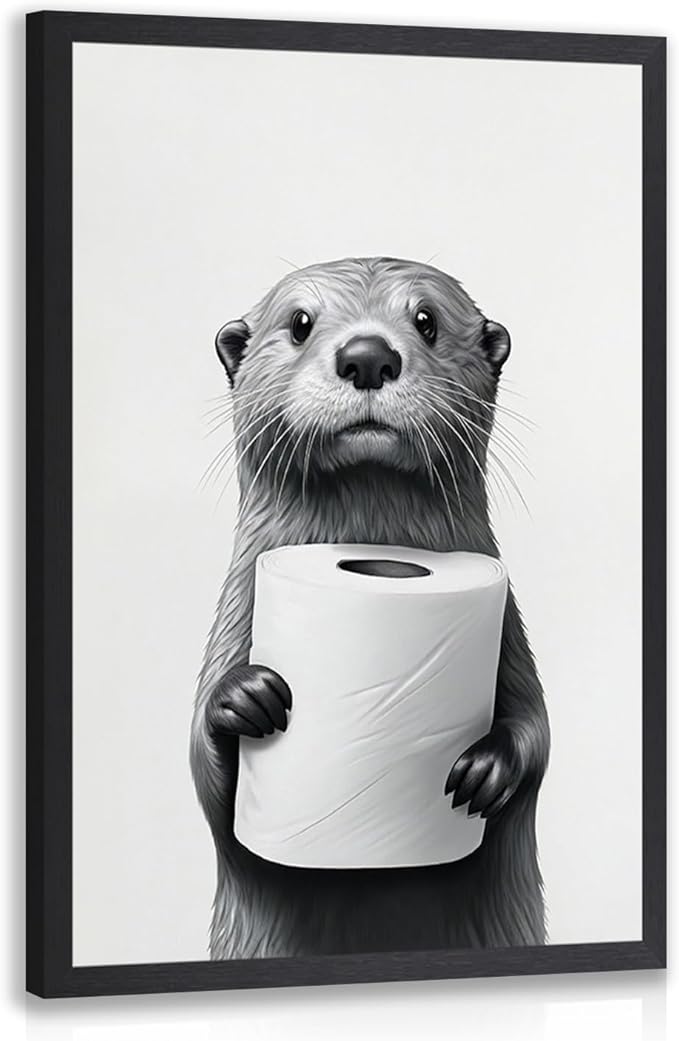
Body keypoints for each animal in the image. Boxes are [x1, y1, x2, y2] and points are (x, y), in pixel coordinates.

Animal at [191, 257, 550, 960]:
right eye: (300, 322)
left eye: (426, 320)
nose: (367, 356)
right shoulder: (235, 617)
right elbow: (204, 771)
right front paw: (243, 698)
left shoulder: (510, 635)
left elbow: (538, 730)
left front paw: (487, 769)